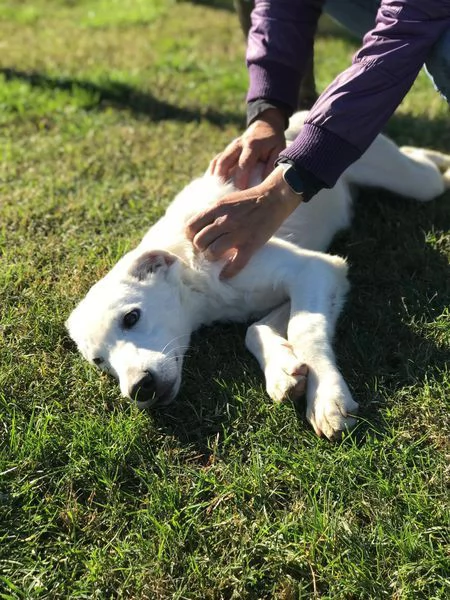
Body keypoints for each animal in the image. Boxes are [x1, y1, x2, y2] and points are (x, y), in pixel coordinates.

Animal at [66, 112, 450, 438]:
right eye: (99, 361)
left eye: (131, 317)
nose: (138, 389)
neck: (196, 280)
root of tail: (302, 116)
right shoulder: (308, 283)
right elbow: (256, 329)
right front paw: (283, 371)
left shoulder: (317, 269)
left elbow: (304, 330)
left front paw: (327, 397)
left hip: (414, 183)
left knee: (426, 172)